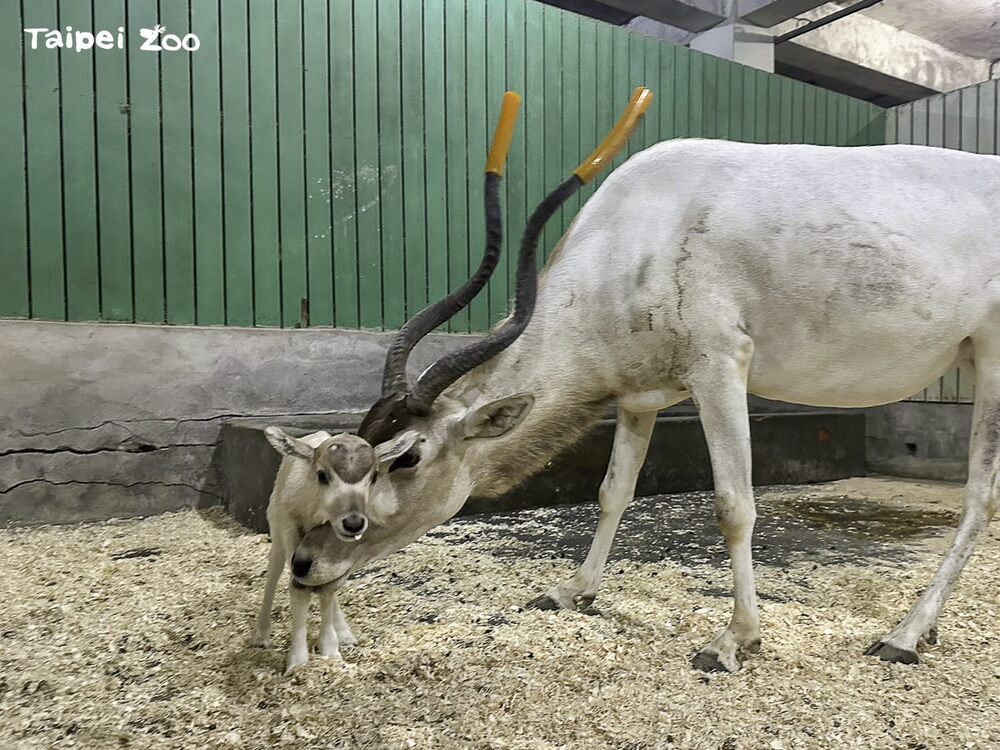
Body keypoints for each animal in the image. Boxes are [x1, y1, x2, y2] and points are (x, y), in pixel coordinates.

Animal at [250, 428, 376, 676]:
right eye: (322, 475)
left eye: (374, 477)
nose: (353, 523)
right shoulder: (290, 528)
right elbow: (298, 587)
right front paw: (297, 661)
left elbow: (327, 587)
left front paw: (331, 650)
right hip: (277, 529)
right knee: (274, 569)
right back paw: (261, 636)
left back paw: (344, 634)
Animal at [286, 89, 996, 676]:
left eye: (406, 458)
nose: (306, 561)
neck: (639, 232)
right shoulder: (639, 397)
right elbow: (613, 492)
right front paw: (572, 591)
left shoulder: (720, 366)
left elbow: (734, 504)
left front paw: (733, 640)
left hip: (990, 360)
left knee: (979, 496)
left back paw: (905, 635)